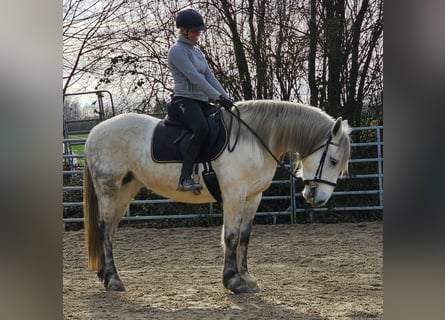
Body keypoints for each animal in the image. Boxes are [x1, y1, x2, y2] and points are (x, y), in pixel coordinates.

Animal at [83, 99, 350, 294]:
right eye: (333, 161)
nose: (319, 199)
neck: (255, 141)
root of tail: (94, 132)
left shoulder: (253, 197)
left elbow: (244, 236)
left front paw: (247, 277)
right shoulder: (234, 195)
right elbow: (231, 236)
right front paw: (234, 281)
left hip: (126, 190)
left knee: (110, 229)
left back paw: (105, 275)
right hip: (109, 188)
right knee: (104, 228)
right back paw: (114, 280)